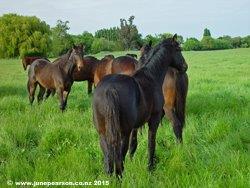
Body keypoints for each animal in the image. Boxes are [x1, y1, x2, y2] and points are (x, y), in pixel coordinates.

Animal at [93, 34, 188, 177]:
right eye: (178, 49)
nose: (184, 66)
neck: (151, 76)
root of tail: (110, 90)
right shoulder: (153, 120)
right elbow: (151, 143)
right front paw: (150, 167)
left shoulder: (136, 125)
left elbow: (134, 144)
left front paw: (133, 160)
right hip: (124, 132)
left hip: (103, 133)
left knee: (108, 159)